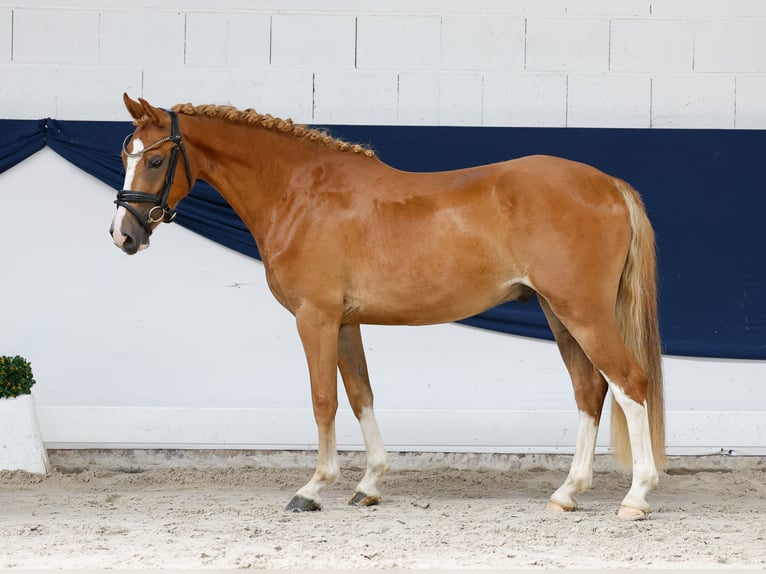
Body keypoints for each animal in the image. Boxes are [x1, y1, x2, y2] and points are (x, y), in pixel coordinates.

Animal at [110, 94, 666, 521]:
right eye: (126, 156)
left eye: (155, 160)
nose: (123, 235)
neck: (300, 192)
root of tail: (609, 185)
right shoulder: (345, 322)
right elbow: (361, 395)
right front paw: (369, 485)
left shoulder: (315, 318)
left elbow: (324, 400)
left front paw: (313, 489)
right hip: (559, 313)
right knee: (590, 390)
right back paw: (568, 492)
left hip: (584, 314)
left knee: (629, 383)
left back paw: (636, 496)